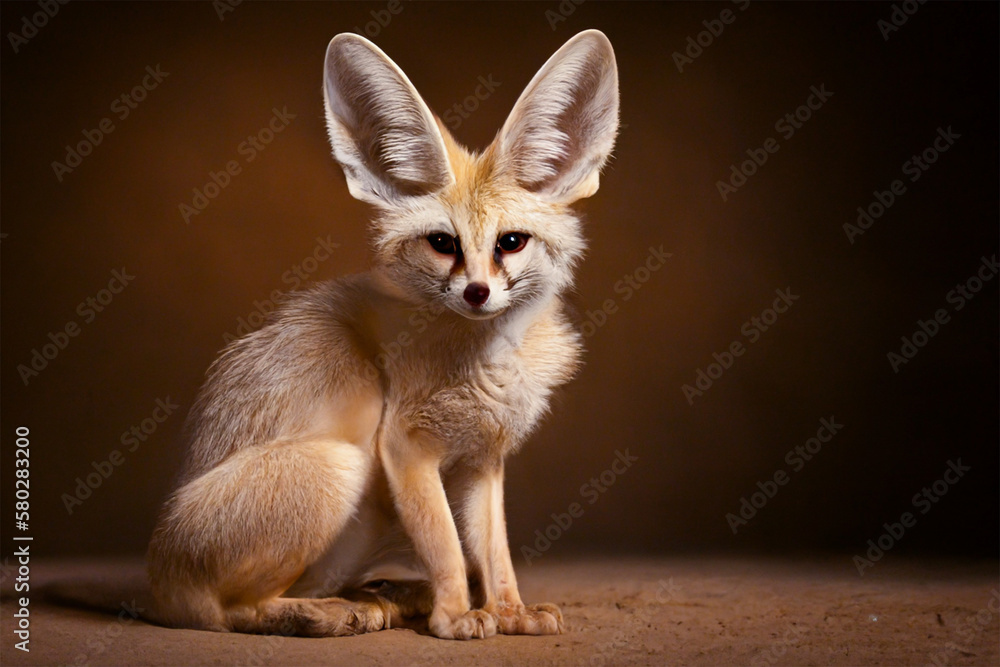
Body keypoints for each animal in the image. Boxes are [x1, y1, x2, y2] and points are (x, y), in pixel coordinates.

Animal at [147, 29, 619, 640]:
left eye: (511, 242)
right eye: (443, 243)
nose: (477, 292)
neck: (487, 362)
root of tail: (157, 589)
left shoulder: (482, 460)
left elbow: (494, 552)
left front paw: (509, 611)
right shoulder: (404, 445)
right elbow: (446, 547)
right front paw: (455, 616)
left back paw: (385, 596)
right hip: (339, 467)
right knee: (231, 612)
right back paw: (328, 614)